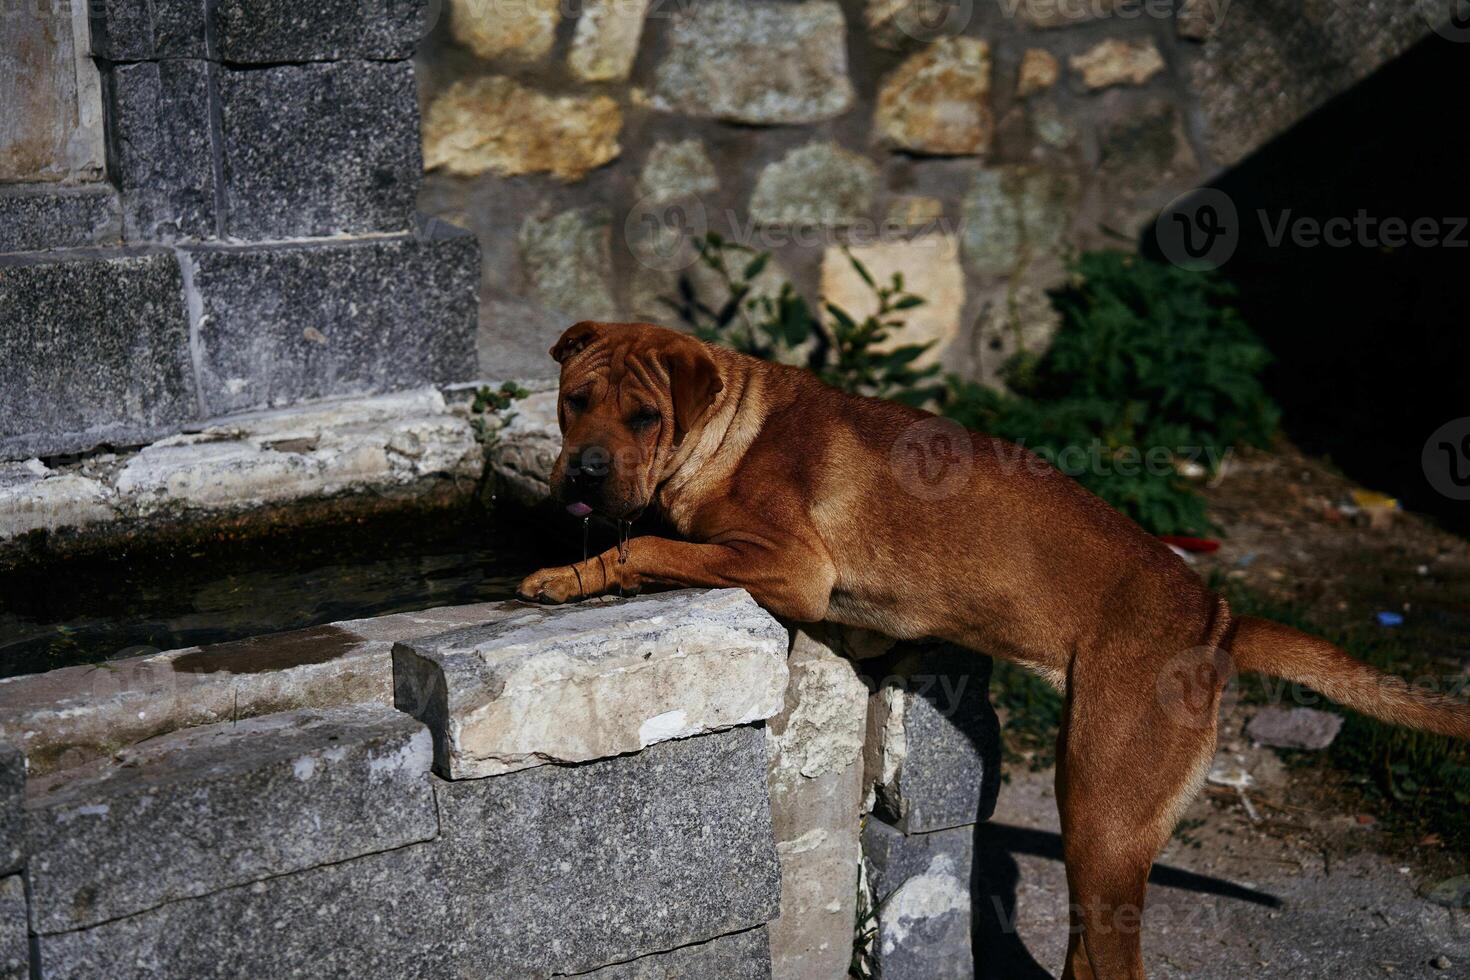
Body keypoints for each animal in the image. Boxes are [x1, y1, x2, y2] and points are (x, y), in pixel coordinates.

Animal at [517, 321, 1470, 980]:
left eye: (645, 415)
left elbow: (646, 545)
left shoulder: (789, 566)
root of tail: (1220, 619)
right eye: (575, 401)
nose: (586, 471)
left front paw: (565, 574)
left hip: (1101, 817)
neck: (725, 426)